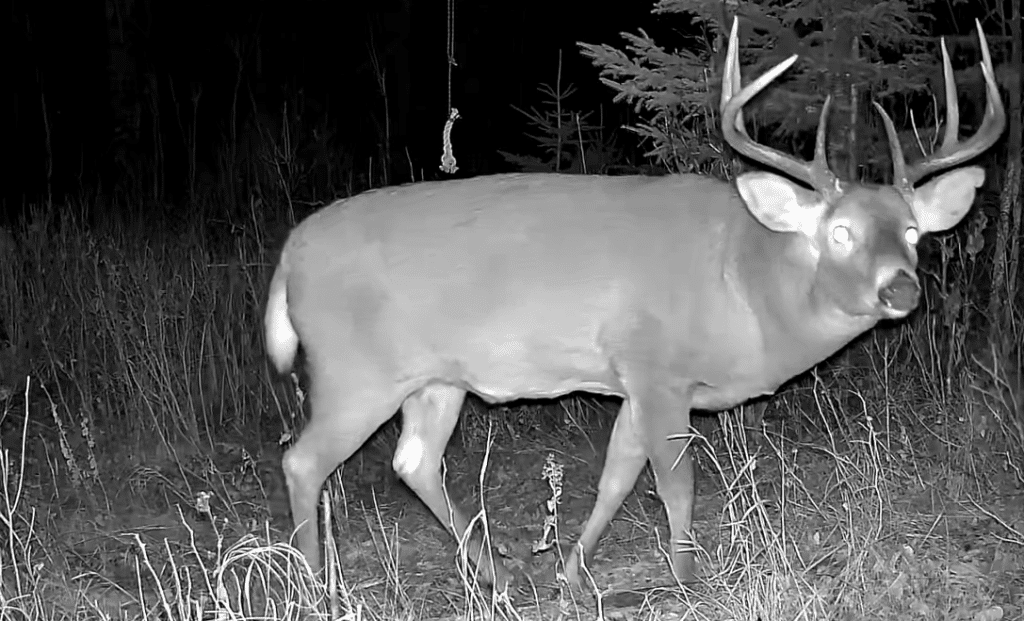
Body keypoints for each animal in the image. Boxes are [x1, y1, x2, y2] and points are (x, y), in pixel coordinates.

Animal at [264, 17, 1004, 590]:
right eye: (840, 232)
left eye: (912, 233)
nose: (900, 288)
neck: (746, 281)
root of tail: (289, 254)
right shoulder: (658, 367)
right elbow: (675, 482)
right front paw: (687, 577)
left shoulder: (631, 380)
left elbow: (617, 476)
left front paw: (571, 574)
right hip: (355, 370)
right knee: (305, 460)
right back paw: (313, 584)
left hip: (437, 378)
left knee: (413, 461)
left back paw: (495, 573)